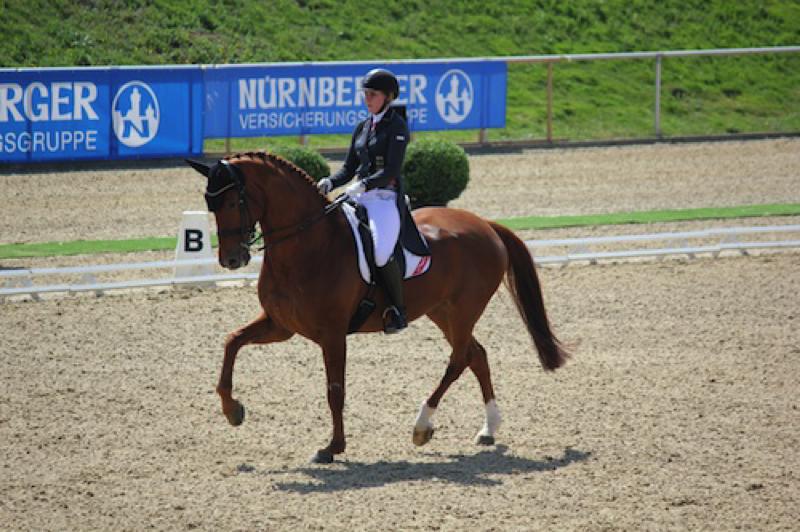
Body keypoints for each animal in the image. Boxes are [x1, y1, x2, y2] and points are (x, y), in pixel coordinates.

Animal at [186, 152, 568, 464]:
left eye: (233, 202)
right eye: (209, 203)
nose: (231, 259)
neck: (309, 245)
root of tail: (485, 224)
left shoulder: (332, 334)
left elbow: (335, 391)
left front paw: (332, 447)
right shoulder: (281, 326)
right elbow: (232, 341)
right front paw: (232, 410)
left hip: (462, 311)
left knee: (459, 359)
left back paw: (421, 426)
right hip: (443, 312)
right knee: (477, 355)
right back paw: (488, 428)